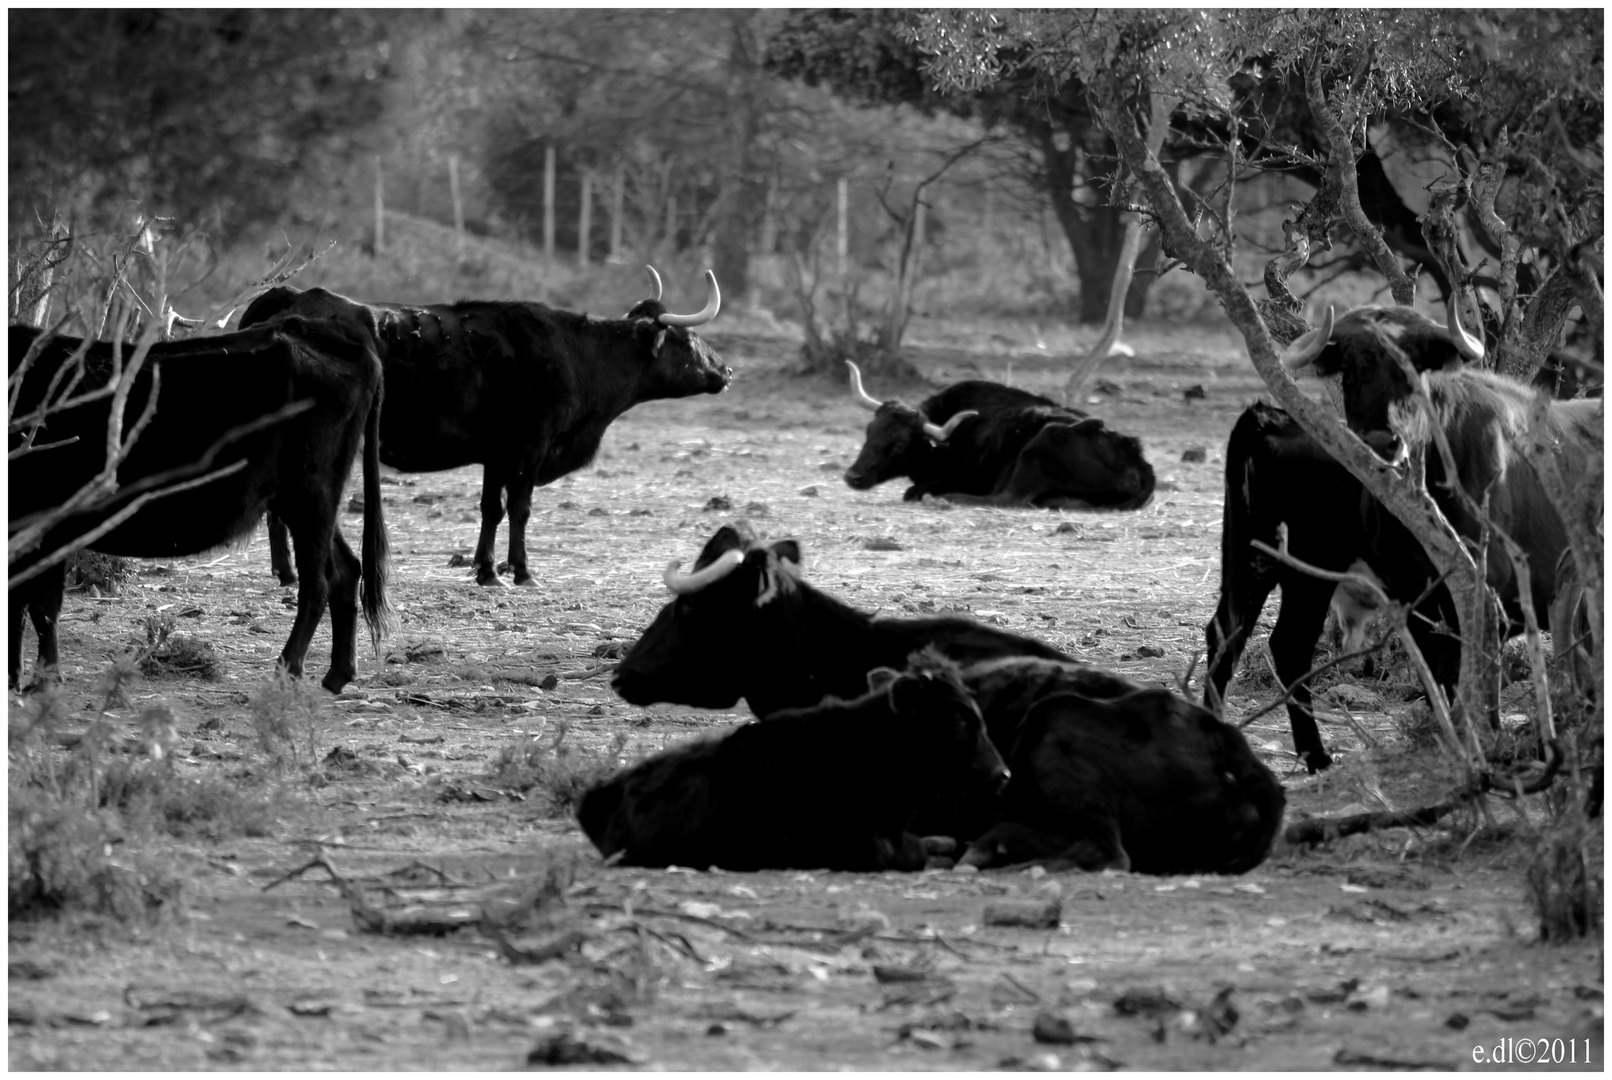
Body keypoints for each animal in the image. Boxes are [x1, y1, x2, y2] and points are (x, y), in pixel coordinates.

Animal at [10, 319, 390, 693]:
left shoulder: (46, 523)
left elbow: (41, 605)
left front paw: (43, 682)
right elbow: (18, 603)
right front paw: (14, 679)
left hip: (310, 496)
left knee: (318, 582)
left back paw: (288, 671)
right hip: (306, 501)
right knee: (345, 570)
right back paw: (337, 675)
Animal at [238, 270, 731, 593]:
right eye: (688, 340)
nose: (726, 370)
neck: (575, 354)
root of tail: (295, 296)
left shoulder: (497, 452)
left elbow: (490, 509)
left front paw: (486, 569)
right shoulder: (529, 448)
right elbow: (520, 508)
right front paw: (522, 571)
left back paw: (287, 572)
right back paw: (290, 573)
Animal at [838, 364, 1154, 512]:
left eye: (900, 443)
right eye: (870, 431)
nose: (853, 477)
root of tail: (1137, 456)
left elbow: (912, 491)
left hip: (1041, 444)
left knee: (1009, 498)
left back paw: (946, 499)